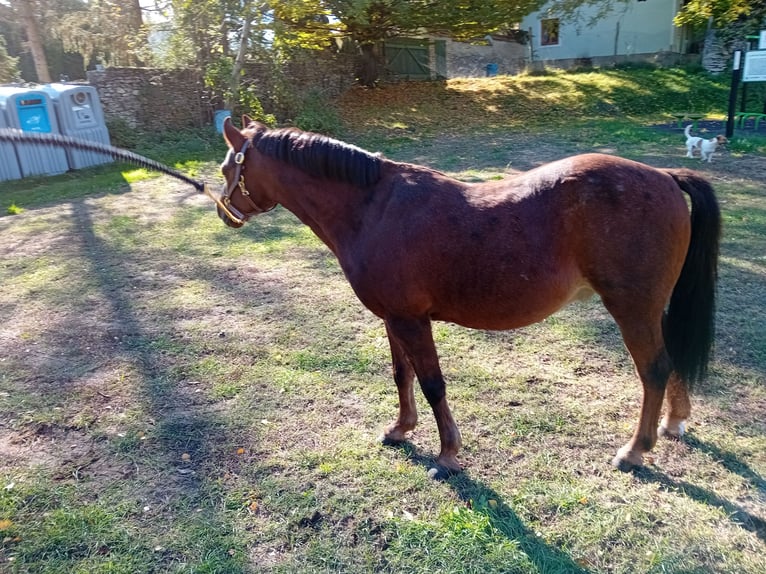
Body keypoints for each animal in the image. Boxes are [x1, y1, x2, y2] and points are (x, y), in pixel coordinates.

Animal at [218, 116, 728, 476]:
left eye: (228, 166)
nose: (225, 213)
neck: (373, 209)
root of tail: (664, 175)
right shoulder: (393, 318)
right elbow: (402, 375)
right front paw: (401, 429)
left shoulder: (411, 320)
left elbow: (432, 383)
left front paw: (448, 454)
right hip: (652, 308)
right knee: (671, 361)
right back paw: (674, 423)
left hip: (632, 308)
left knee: (655, 370)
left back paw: (635, 450)